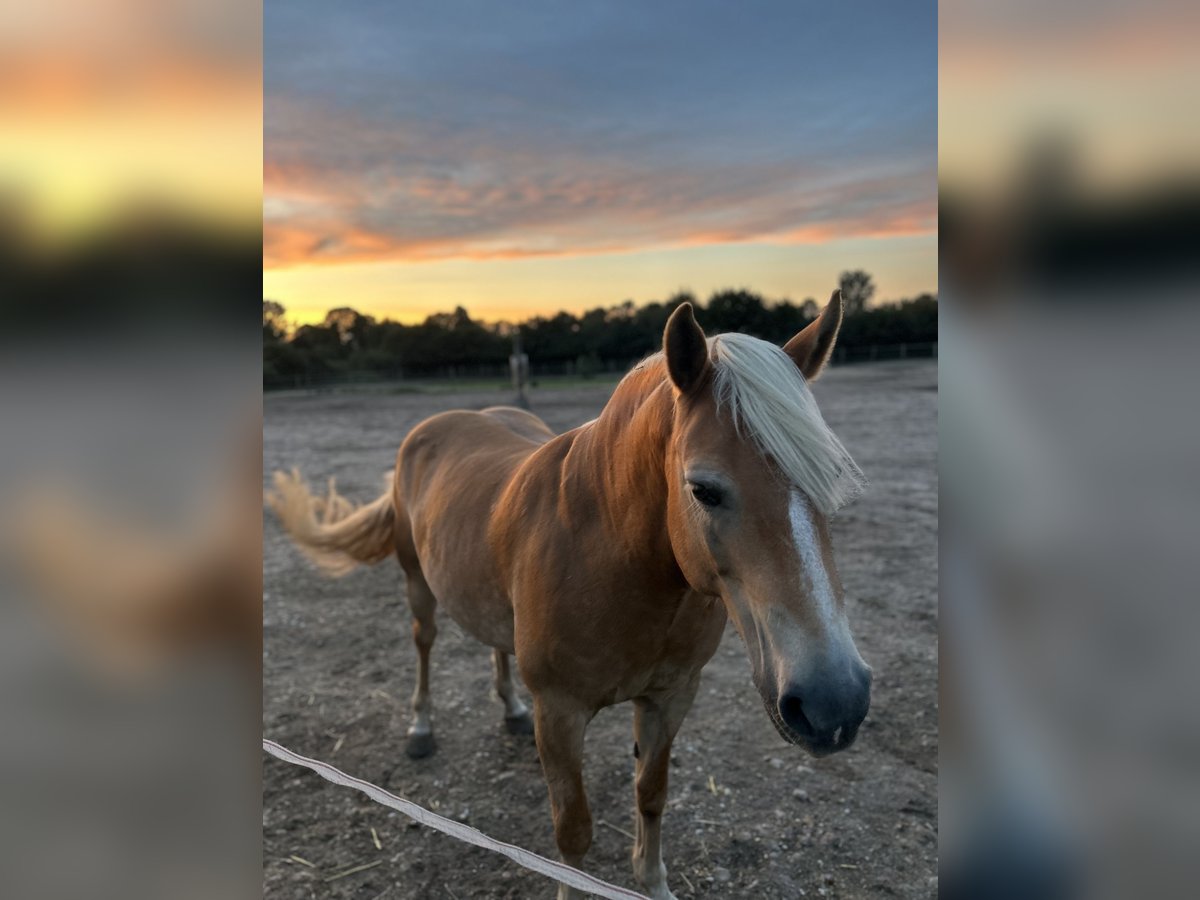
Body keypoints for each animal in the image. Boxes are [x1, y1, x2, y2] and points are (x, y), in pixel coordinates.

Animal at [270, 292, 873, 897]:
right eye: (703, 489)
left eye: (834, 478)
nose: (835, 701)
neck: (610, 553)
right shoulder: (560, 714)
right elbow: (573, 832)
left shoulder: (672, 696)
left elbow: (651, 794)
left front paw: (652, 882)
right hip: (417, 581)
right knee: (424, 642)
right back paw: (421, 727)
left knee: (497, 642)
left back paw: (511, 709)